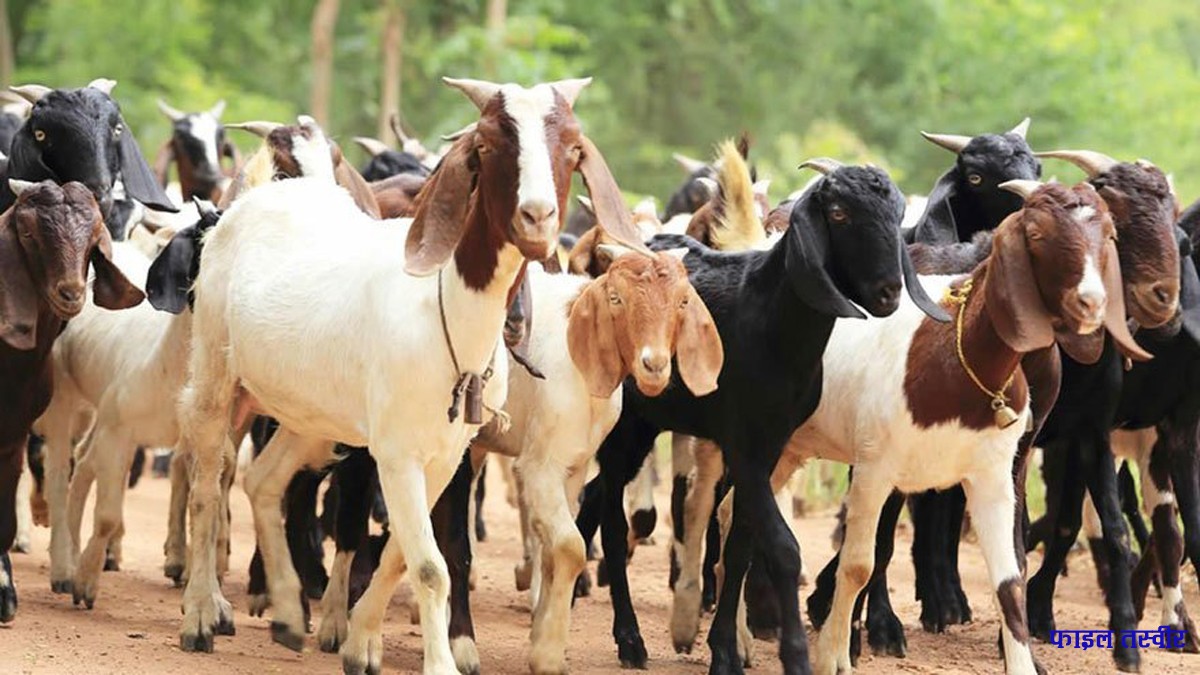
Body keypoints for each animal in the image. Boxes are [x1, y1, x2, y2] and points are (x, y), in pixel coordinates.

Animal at [172, 76, 648, 672]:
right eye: (488, 143)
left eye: (572, 148)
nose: (537, 218)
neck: (444, 311)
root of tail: (255, 200)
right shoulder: (397, 454)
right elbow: (429, 564)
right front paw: (437, 659)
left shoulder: (445, 455)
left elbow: (402, 553)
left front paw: (359, 641)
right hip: (217, 376)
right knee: (208, 486)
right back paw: (200, 614)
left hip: (309, 413)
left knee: (263, 482)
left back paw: (285, 611)